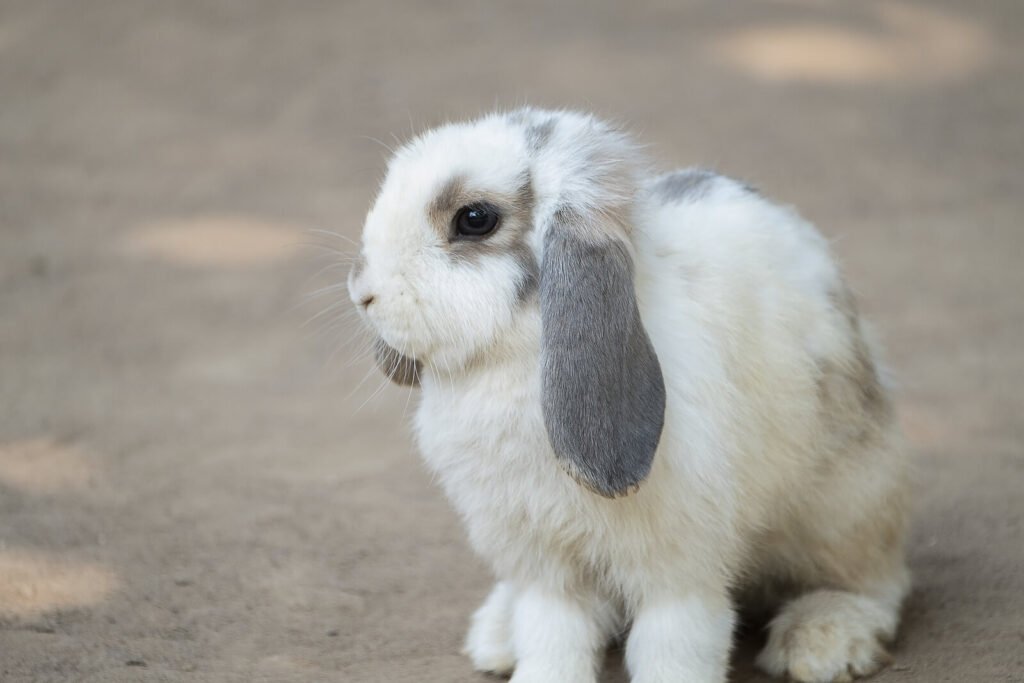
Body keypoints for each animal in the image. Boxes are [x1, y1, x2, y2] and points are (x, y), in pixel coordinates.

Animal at [348, 108, 909, 683]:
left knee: (876, 583)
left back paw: (822, 642)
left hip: (846, 505)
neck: (515, 361)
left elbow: (673, 642)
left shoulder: (677, 568)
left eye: (474, 219)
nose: (363, 293)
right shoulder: (544, 564)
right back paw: (495, 635)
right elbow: (552, 633)